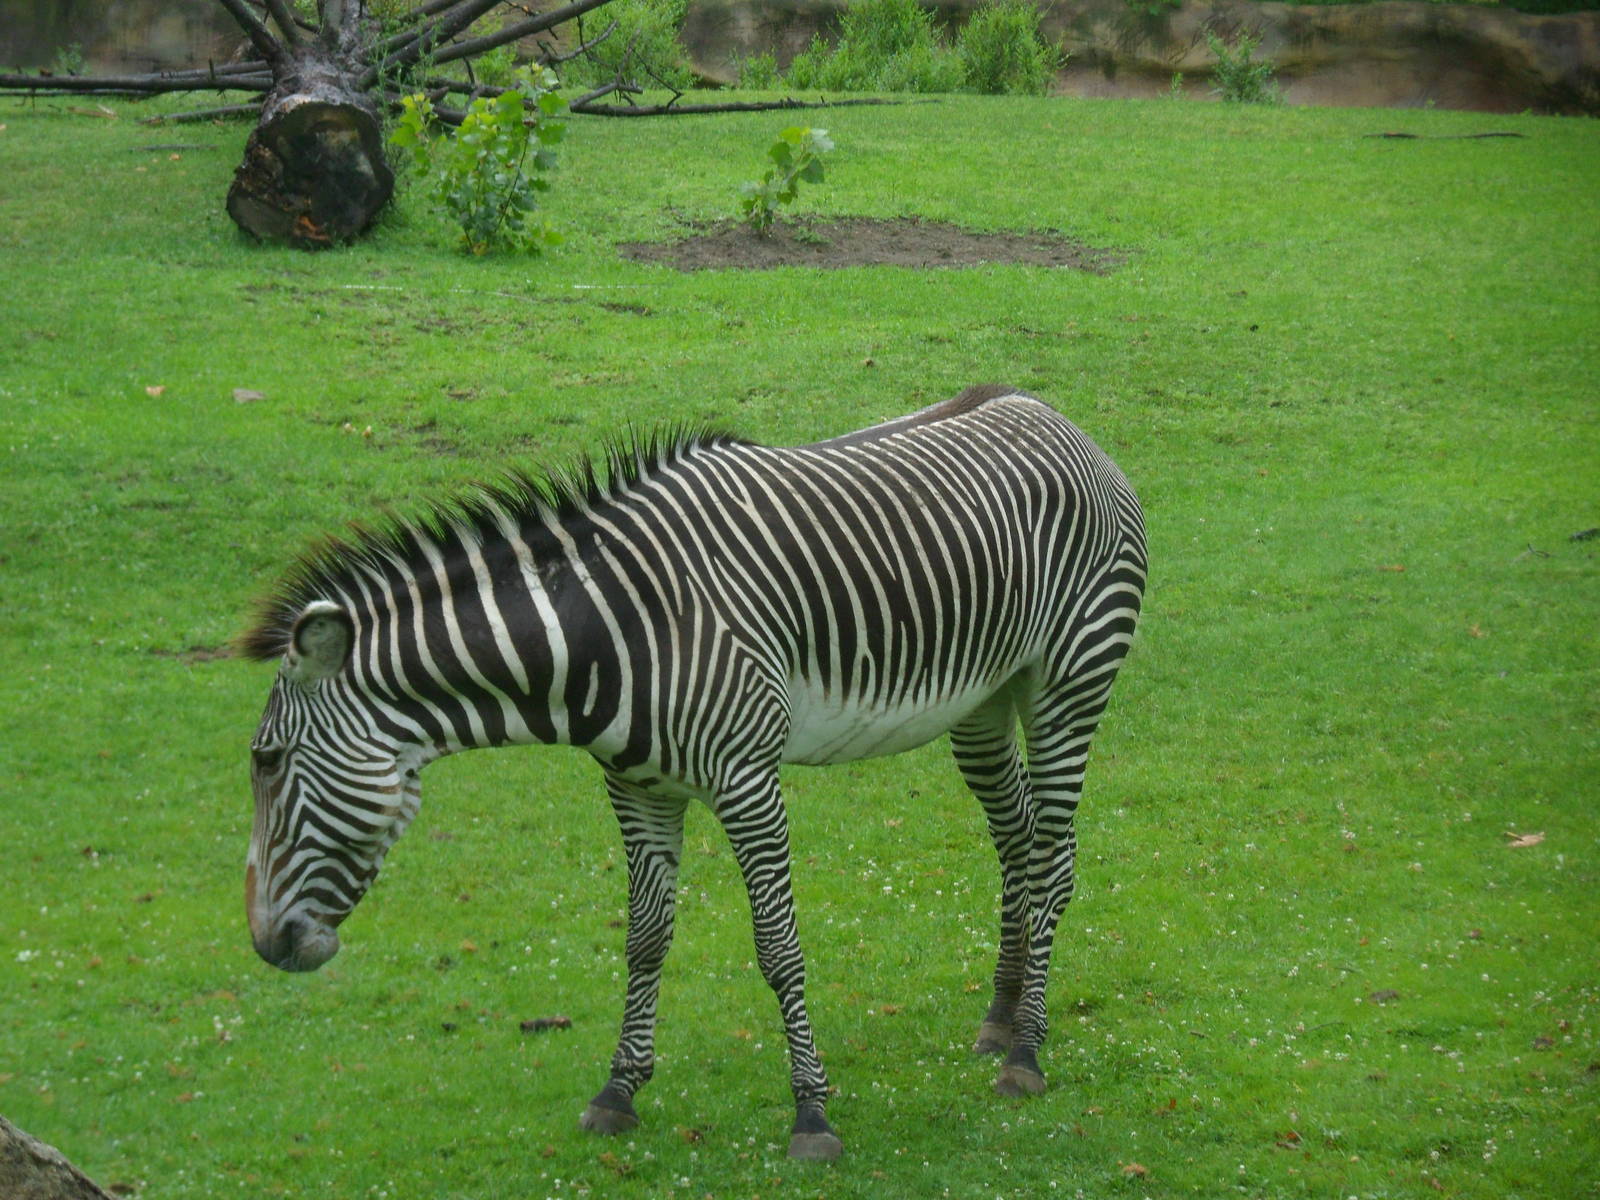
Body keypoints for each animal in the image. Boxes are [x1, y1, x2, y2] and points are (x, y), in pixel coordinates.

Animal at [239, 384, 1146, 1161]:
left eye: (267, 761)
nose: (266, 946)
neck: (609, 632)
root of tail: (1054, 414)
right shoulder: (636, 787)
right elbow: (645, 939)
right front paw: (618, 1091)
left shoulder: (747, 778)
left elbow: (777, 946)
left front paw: (812, 1113)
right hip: (986, 699)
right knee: (1019, 841)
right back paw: (1000, 1014)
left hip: (1070, 679)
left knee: (1054, 856)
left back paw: (1025, 1052)